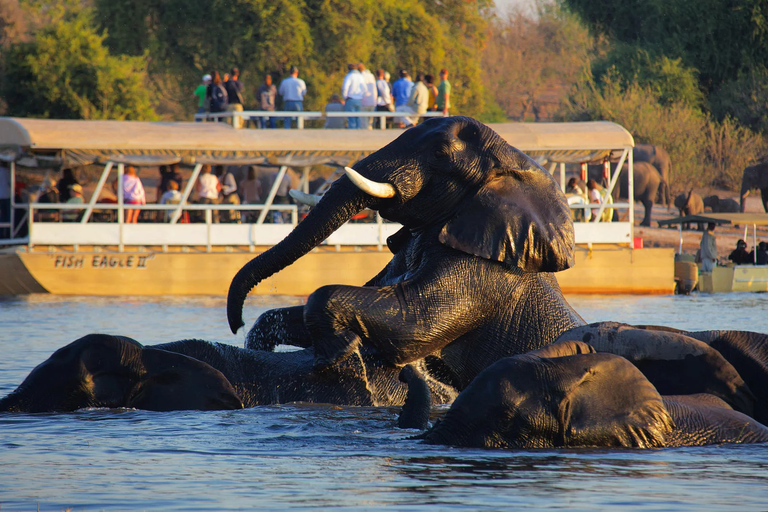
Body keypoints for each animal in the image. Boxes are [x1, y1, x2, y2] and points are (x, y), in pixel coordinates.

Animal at [228, 116, 584, 388]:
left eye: (440, 154)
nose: (236, 323)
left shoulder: (485, 273)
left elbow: (414, 321)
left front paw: (338, 356)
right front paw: (260, 342)